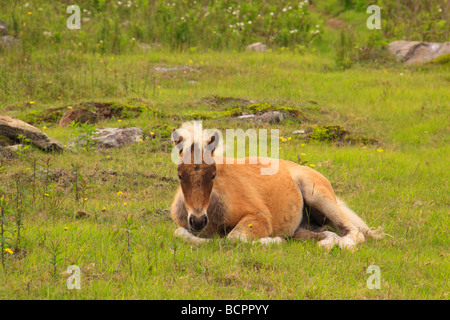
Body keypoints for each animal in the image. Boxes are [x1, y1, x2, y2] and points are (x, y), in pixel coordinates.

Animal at [169, 122, 384, 250]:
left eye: (213, 174)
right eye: (180, 175)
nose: (198, 221)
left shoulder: (259, 216)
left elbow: (235, 238)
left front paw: (274, 240)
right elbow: (179, 233)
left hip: (318, 195)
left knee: (354, 232)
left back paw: (338, 245)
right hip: (304, 226)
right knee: (326, 233)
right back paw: (327, 241)